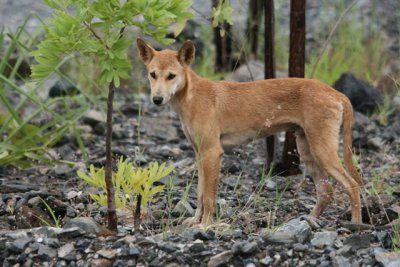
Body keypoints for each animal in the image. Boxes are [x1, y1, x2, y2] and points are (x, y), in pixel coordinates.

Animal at [137, 38, 362, 228]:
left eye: (171, 76)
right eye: (152, 74)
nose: (157, 99)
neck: (191, 96)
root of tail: (336, 93)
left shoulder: (212, 153)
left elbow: (209, 197)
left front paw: (206, 225)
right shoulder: (200, 154)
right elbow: (200, 193)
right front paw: (195, 220)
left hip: (323, 150)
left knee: (352, 185)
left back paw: (356, 224)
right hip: (307, 150)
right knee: (326, 190)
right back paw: (311, 220)